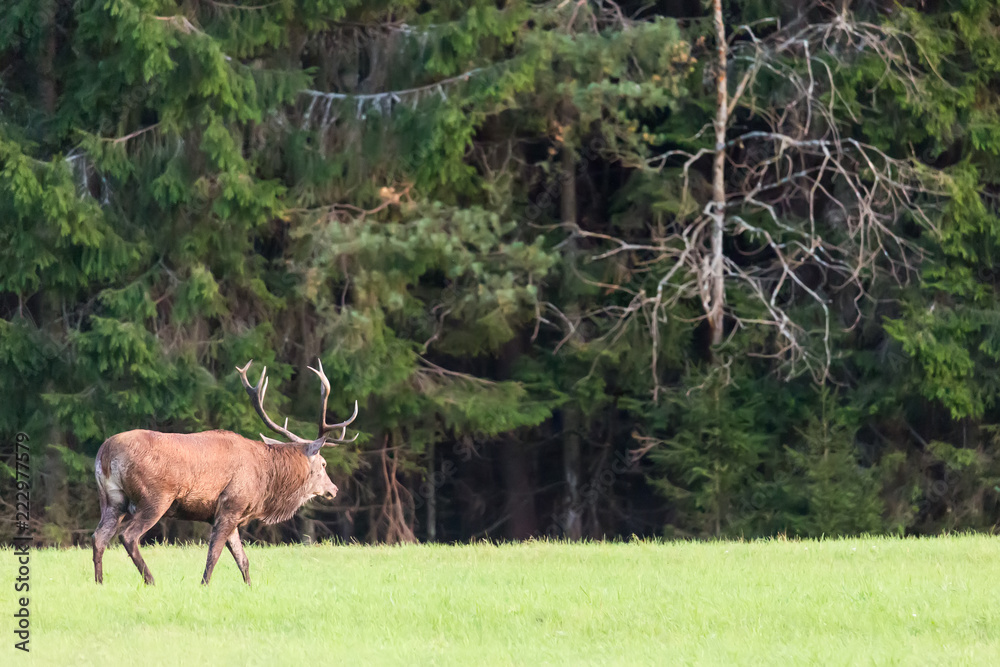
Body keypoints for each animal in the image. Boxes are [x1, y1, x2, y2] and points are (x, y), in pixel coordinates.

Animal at [92, 358, 357, 586]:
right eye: (323, 464)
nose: (334, 489)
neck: (266, 482)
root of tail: (104, 452)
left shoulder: (232, 514)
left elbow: (243, 560)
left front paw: (250, 588)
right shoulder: (231, 504)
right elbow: (214, 554)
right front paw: (203, 586)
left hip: (112, 499)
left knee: (99, 537)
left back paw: (99, 582)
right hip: (156, 497)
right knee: (128, 536)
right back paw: (151, 580)